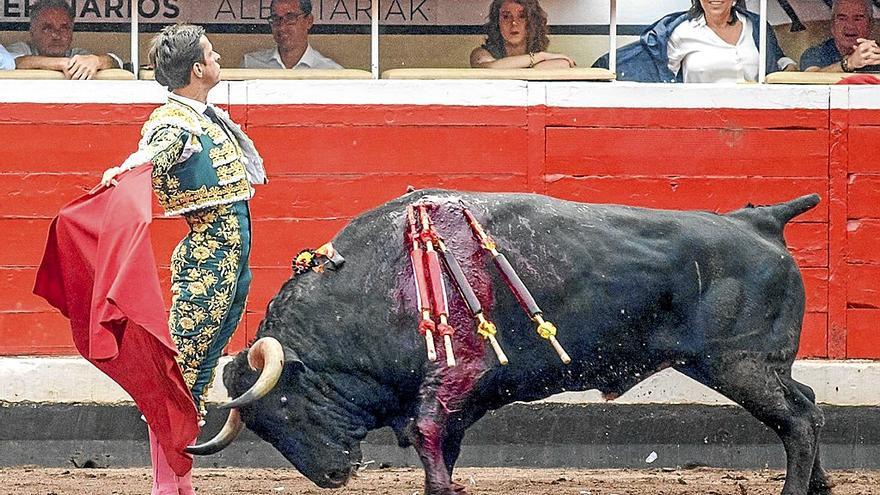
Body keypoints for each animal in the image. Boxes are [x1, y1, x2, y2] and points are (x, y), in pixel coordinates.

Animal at [217, 191, 828, 495]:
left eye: (285, 404)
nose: (331, 476)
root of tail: (759, 222)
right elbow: (441, 447)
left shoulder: (454, 379)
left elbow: (429, 438)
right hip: (758, 365)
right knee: (808, 407)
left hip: (737, 363)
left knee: (797, 419)